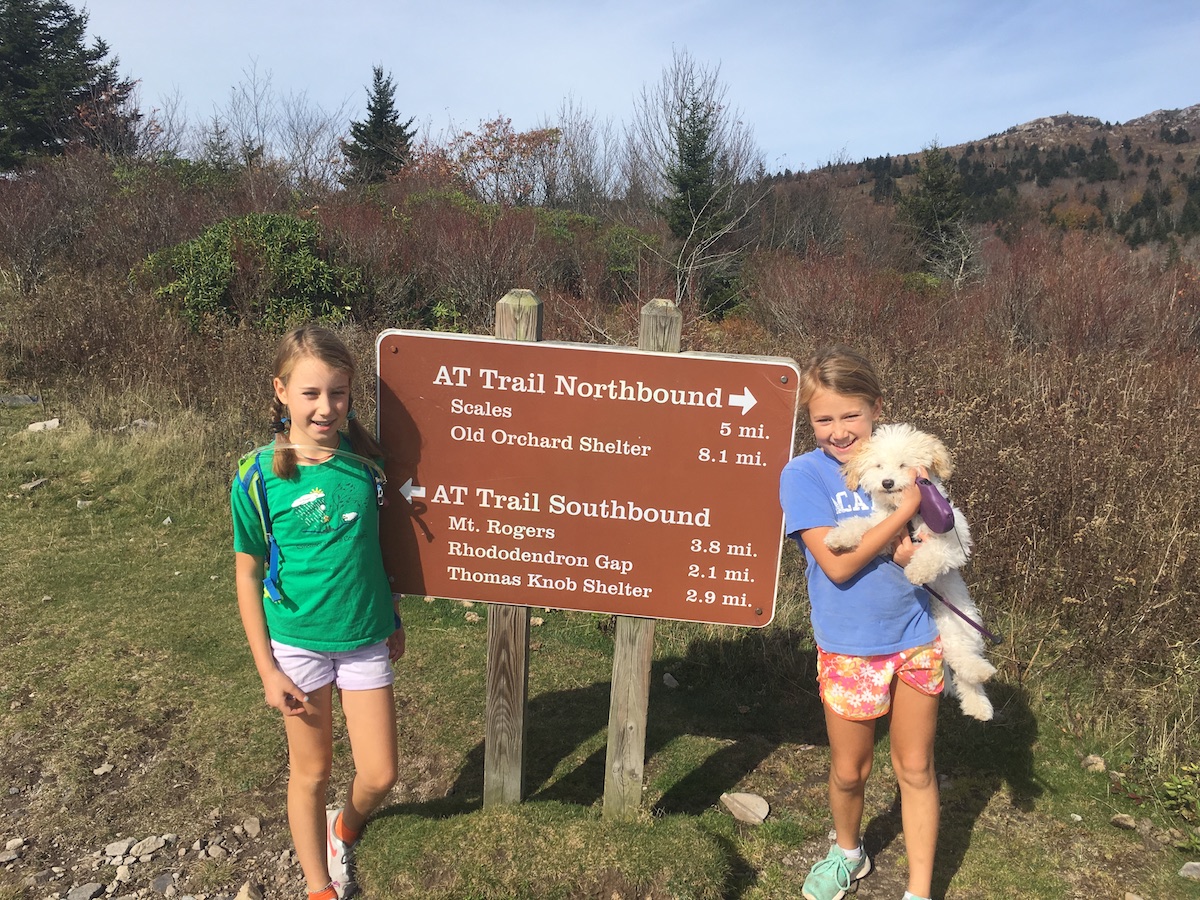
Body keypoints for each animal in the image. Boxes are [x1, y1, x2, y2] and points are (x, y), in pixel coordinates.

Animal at [825, 422, 993, 720]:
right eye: (879, 465)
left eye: (903, 464)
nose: (887, 483)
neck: (909, 514)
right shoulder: (883, 534)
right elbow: (862, 525)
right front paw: (840, 537)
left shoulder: (955, 540)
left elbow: (935, 551)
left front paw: (917, 571)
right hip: (945, 626)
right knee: (960, 662)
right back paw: (977, 702)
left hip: (962, 621)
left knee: (966, 659)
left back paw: (981, 683)